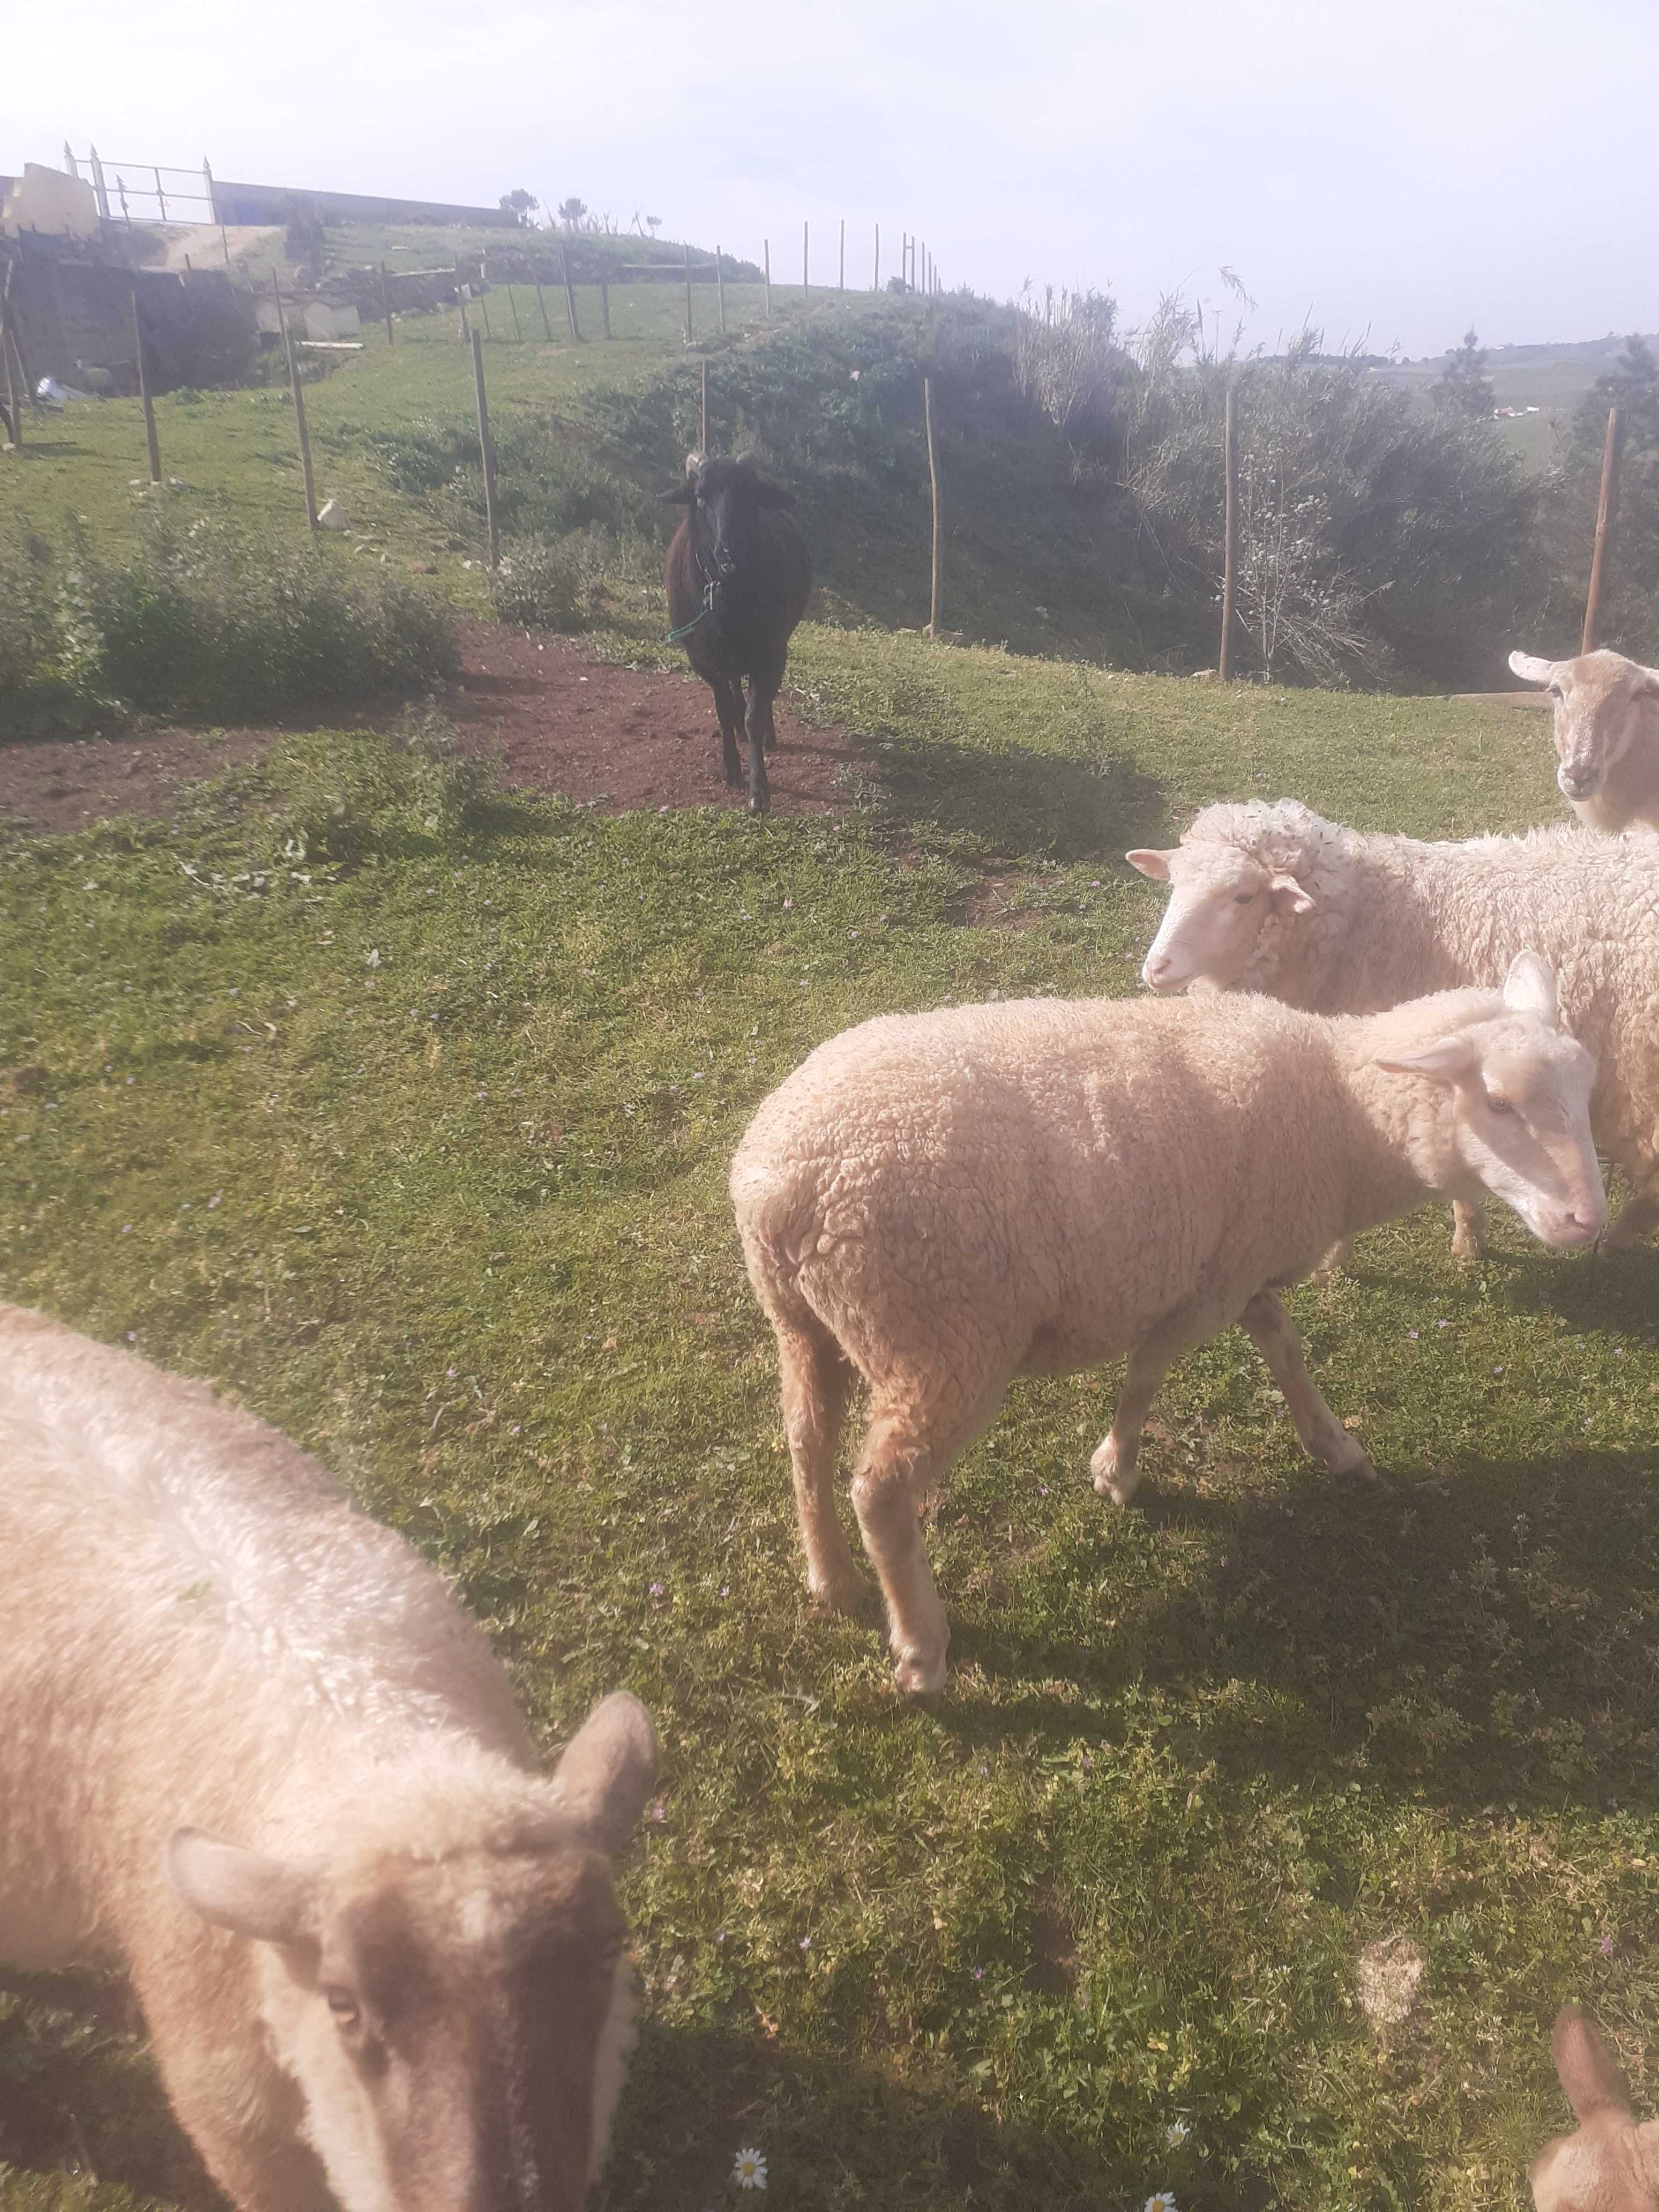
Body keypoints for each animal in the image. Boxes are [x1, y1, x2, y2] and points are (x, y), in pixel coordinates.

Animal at [734, 960, 1601, 1699]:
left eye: (1587, 1090)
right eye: (1498, 1103)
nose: (1586, 1222)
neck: (1339, 1109)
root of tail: (782, 1186)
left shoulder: (1239, 1267)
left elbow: (1284, 1348)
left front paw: (1333, 1444)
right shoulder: (1205, 1288)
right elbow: (1147, 1374)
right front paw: (1116, 1471)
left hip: (808, 1324)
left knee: (805, 1441)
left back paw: (833, 1580)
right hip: (943, 1341)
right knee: (881, 1490)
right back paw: (922, 1649)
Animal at [1132, 801, 1659, 1256]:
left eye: (1242, 896)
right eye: (1174, 884)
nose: (1156, 969)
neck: (1366, 918)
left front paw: (1462, 1239)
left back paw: (1618, 1240)